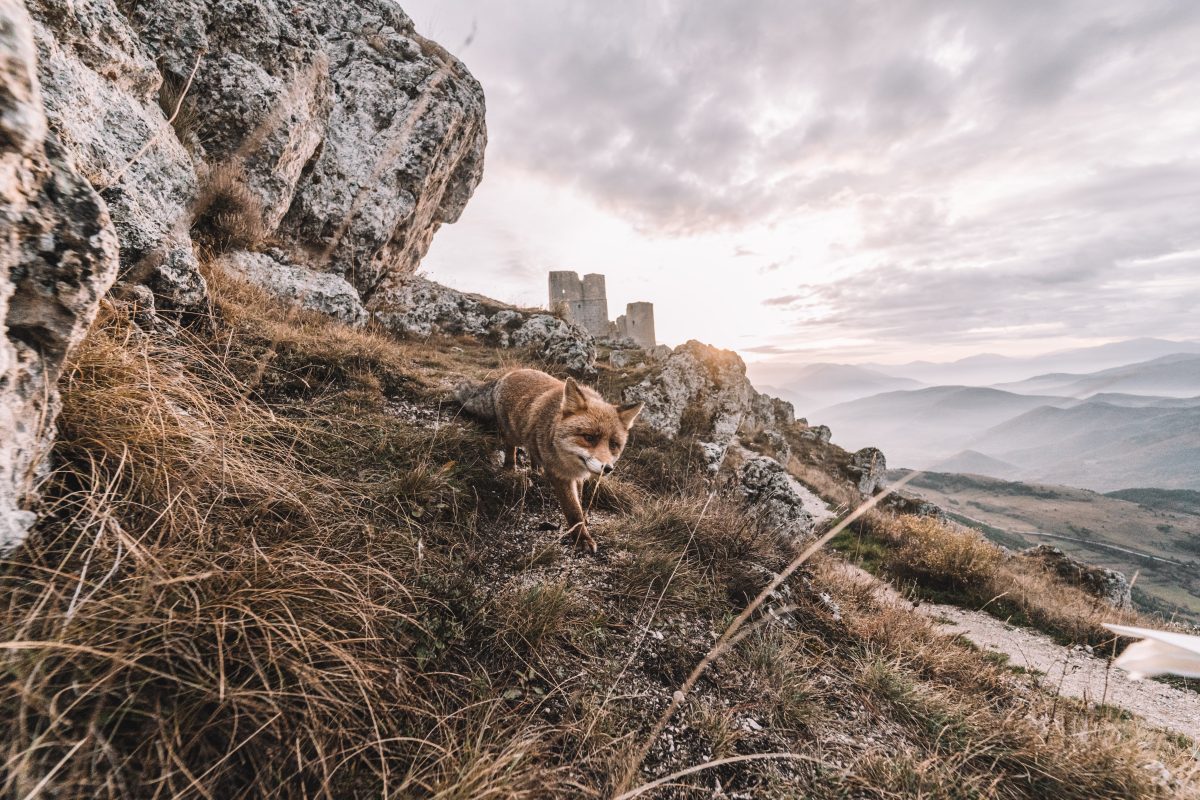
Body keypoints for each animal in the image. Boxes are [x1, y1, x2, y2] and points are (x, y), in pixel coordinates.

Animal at [458, 369, 648, 551]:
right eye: (589, 438)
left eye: (613, 445)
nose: (607, 468)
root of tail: (510, 372)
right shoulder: (560, 476)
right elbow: (572, 510)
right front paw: (581, 538)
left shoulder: (577, 476)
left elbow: (579, 499)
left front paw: (583, 521)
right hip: (512, 434)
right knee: (511, 448)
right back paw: (510, 469)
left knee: (533, 452)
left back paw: (537, 470)